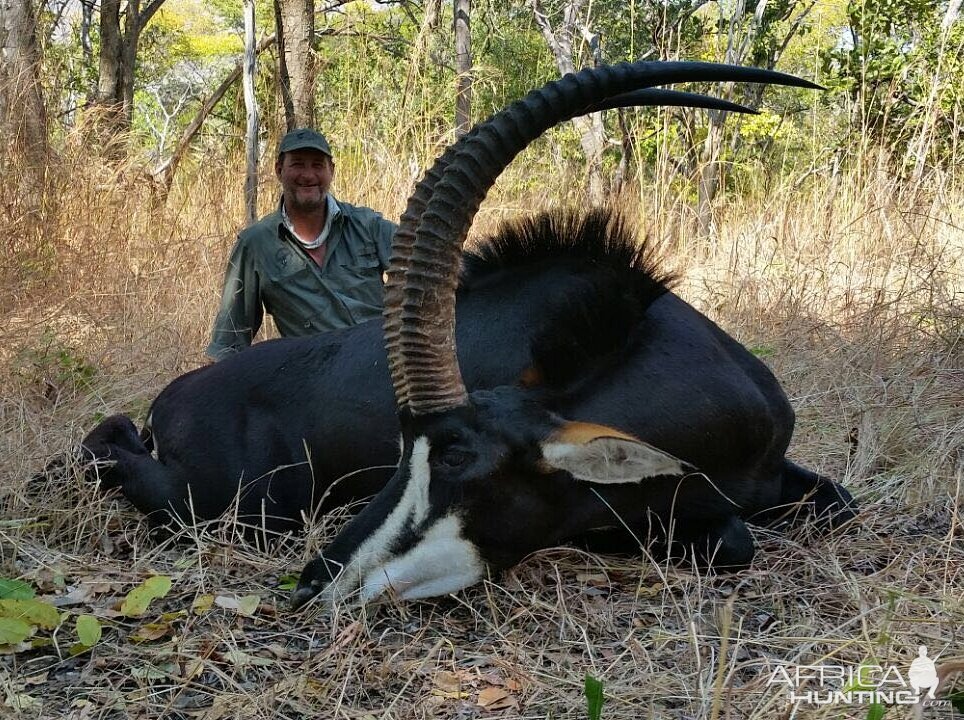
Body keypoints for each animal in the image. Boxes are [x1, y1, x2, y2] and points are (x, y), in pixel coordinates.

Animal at [73, 60, 852, 608]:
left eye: (453, 456)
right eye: (402, 452)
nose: (317, 580)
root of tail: (173, 397)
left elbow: (830, 507)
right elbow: (725, 538)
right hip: (228, 503)